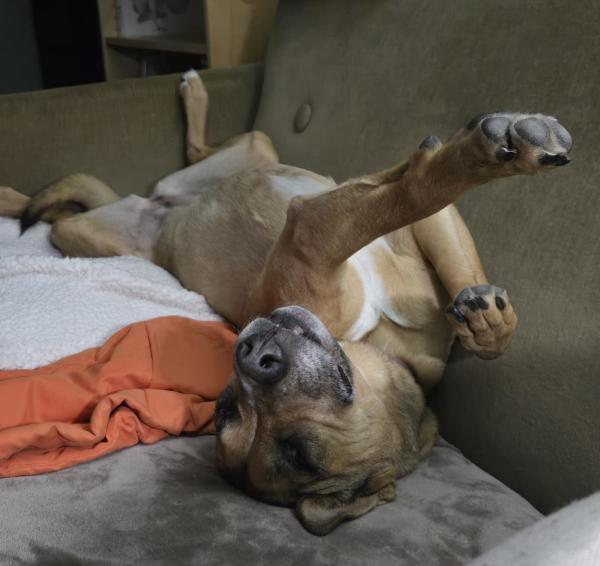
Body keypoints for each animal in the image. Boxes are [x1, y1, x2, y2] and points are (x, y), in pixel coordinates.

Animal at [0, 71, 572, 536]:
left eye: (299, 453)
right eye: (229, 409)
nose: (253, 355)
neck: (376, 342)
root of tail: (159, 212)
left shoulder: (410, 233)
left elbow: (417, 204)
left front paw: (487, 319)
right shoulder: (315, 228)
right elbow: (414, 190)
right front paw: (485, 152)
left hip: (227, 163)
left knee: (152, 171)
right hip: (86, 234)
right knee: (66, 207)